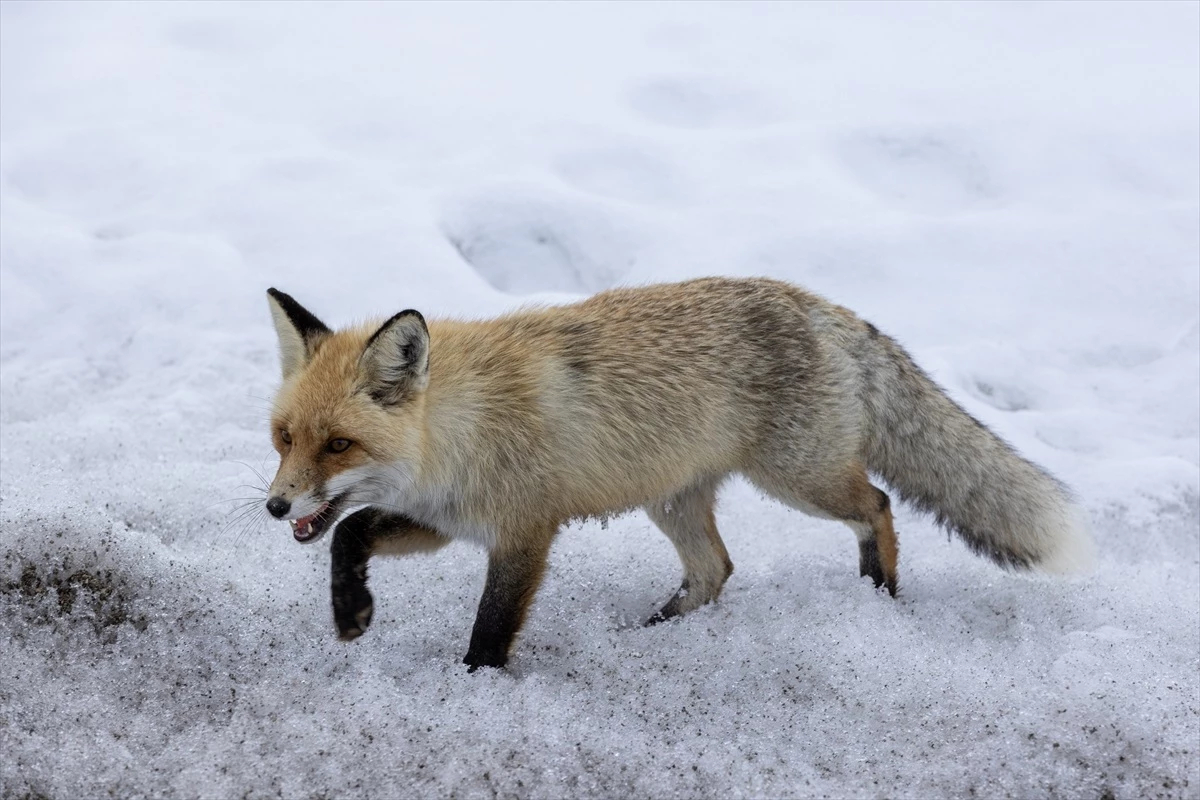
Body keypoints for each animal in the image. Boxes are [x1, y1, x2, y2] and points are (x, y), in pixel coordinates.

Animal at [267, 278, 1094, 671]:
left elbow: (490, 629)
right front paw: (351, 612)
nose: (275, 507)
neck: (459, 432)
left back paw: (879, 594)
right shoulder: (443, 521)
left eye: (338, 444)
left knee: (880, 505)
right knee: (716, 570)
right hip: (674, 500)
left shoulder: (523, 532)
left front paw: (474, 688)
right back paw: (651, 633)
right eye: (283, 438)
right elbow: (349, 536)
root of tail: (824, 307)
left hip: (800, 480)